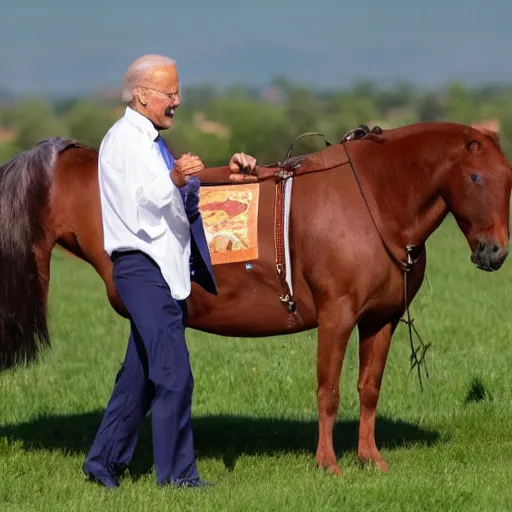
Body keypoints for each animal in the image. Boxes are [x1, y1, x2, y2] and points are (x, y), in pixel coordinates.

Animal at [0, 121, 510, 476]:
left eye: (509, 179)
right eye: (476, 178)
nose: (494, 252)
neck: (373, 198)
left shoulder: (379, 320)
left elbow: (368, 389)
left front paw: (370, 457)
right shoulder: (337, 315)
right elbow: (328, 391)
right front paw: (328, 463)